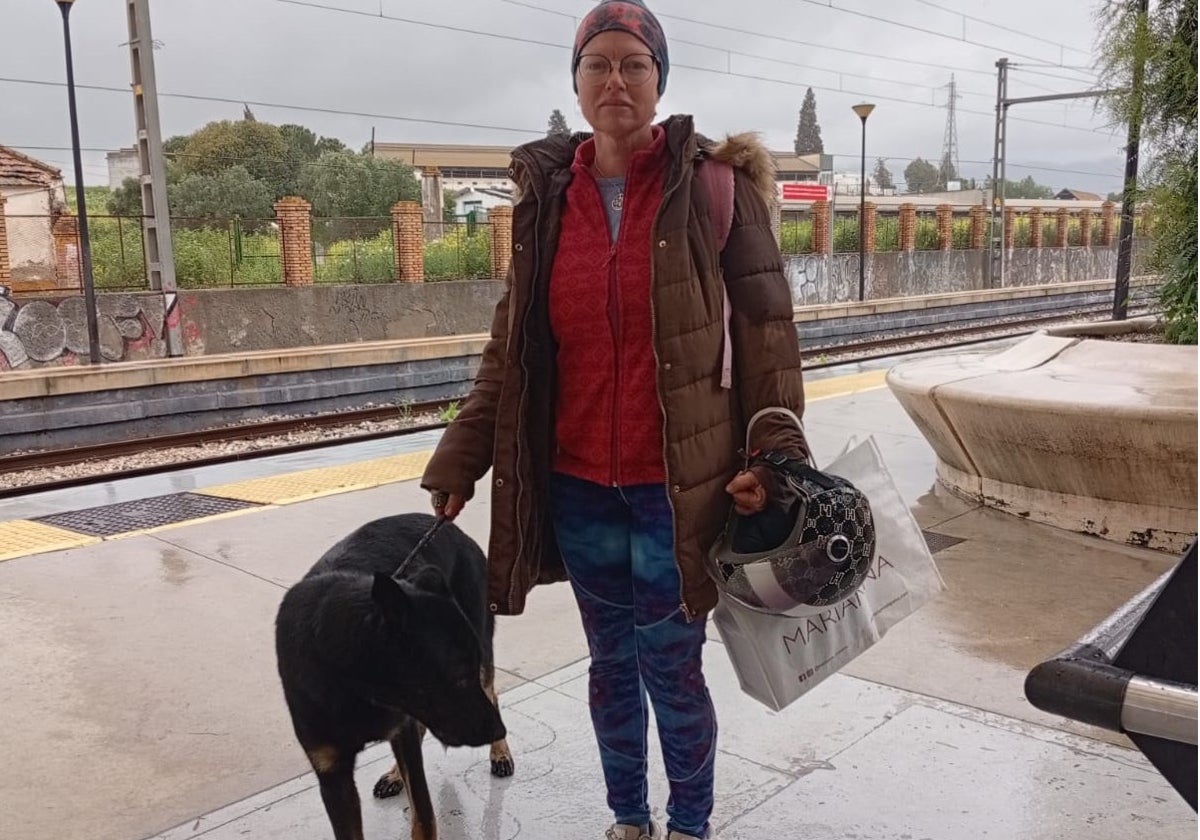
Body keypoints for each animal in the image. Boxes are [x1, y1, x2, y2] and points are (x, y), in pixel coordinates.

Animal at [276, 511, 516, 840]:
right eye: (456, 676)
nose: (499, 730)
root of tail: (449, 525)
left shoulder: (404, 729)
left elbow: (425, 815)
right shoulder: (332, 772)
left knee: (491, 691)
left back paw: (500, 754)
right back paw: (395, 775)